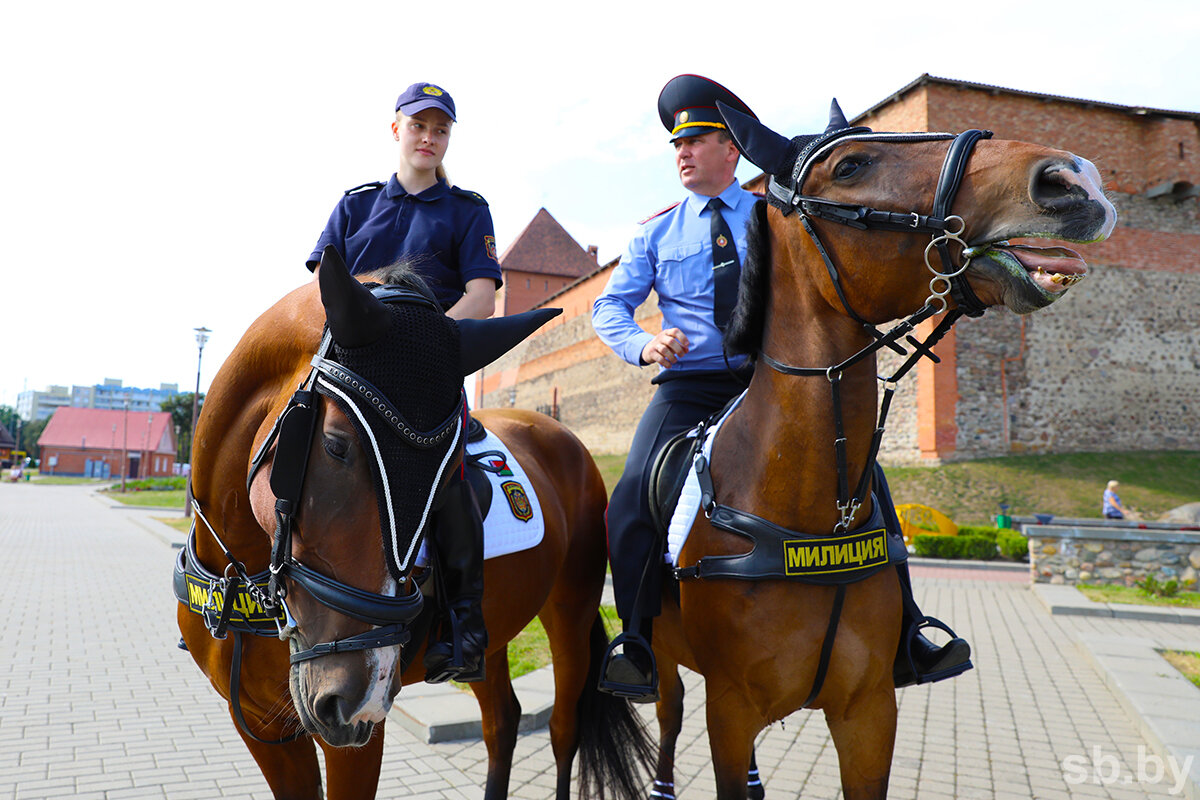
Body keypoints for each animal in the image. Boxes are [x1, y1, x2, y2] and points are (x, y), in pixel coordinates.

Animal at [175, 250, 652, 800]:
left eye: (448, 472)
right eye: (335, 445)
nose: (355, 694)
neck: (239, 579)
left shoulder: (359, 736)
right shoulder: (259, 727)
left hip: (570, 610)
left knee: (562, 728)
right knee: (502, 723)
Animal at [643, 103, 1118, 796]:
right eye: (850, 166)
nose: (1074, 177)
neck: (812, 510)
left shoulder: (868, 711)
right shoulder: (727, 710)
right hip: (668, 664)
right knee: (668, 710)